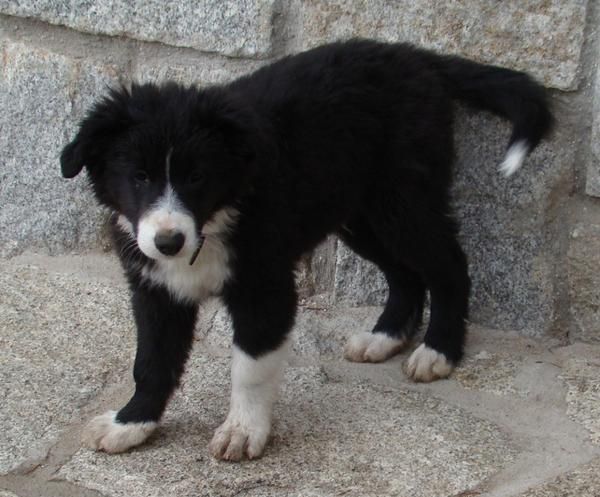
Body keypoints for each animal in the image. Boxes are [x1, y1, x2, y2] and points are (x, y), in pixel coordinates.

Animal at [59, 39, 552, 462]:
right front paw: (131, 423)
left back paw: (439, 350)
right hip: (359, 213)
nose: (168, 242)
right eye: (138, 177)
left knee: (448, 267)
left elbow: (250, 368)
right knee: (404, 274)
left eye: (197, 178)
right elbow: (151, 361)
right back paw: (384, 337)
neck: (217, 218)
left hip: (403, 199)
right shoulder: (155, 290)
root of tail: (413, 56)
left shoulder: (266, 288)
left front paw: (243, 431)